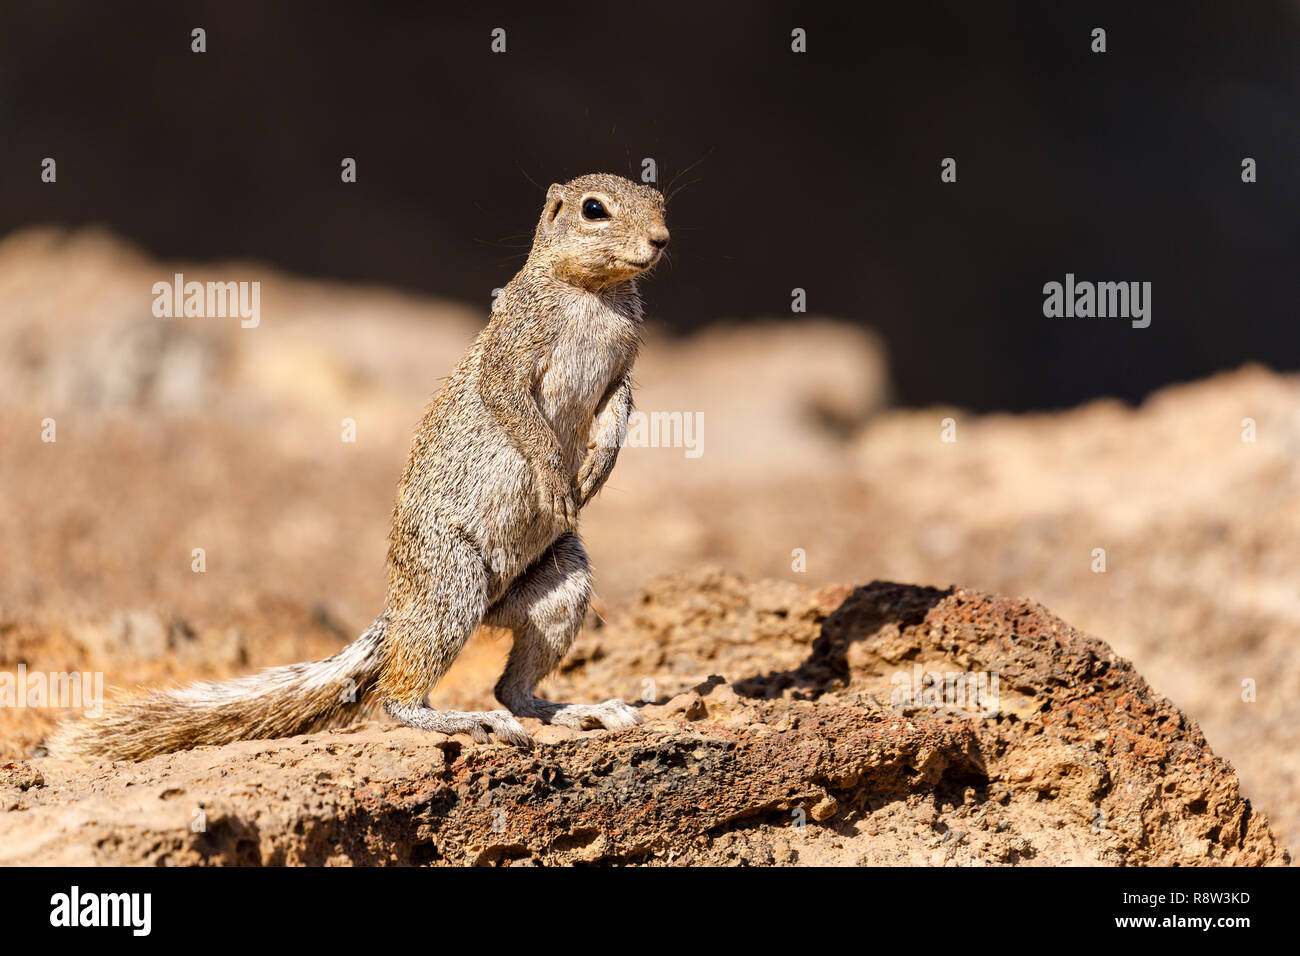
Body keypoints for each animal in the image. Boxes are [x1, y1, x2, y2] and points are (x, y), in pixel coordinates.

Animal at [50, 171, 670, 764]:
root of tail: (399, 610)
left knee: (511, 691)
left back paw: (584, 711)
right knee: (399, 697)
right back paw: (469, 721)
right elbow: (515, 408)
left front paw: (596, 473)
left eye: (658, 198)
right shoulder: (513, 352)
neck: (593, 292)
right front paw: (558, 481)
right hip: (452, 584)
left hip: (562, 586)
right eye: (594, 209)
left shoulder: (623, 366)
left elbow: (618, 409)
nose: (661, 239)